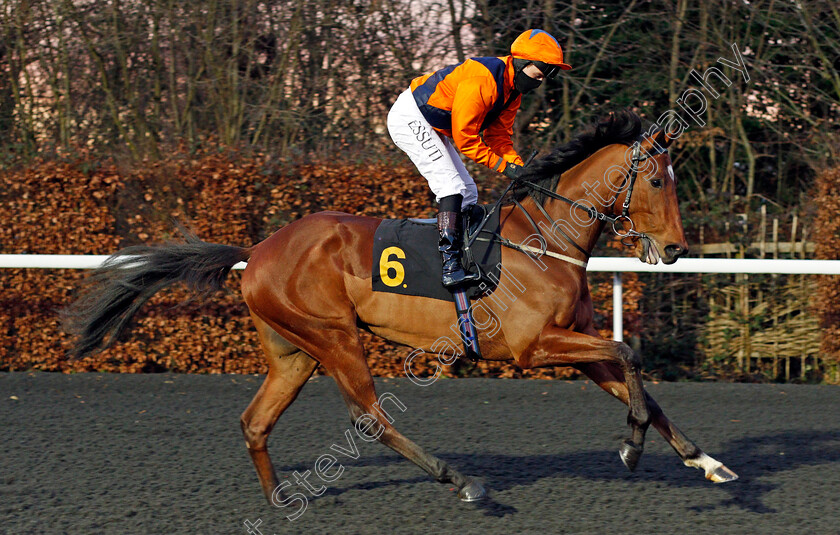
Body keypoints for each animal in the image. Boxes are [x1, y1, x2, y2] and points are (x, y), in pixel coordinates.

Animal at [64, 110, 736, 506]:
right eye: (658, 181)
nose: (674, 249)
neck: (545, 240)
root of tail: (258, 249)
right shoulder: (532, 348)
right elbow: (628, 354)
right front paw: (631, 447)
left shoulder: (575, 347)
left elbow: (635, 379)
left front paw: (704, 460)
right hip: (335, 337)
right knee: (370, 418)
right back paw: (460, 480)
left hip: (294, 351)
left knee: (256, 421)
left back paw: (280, 498)